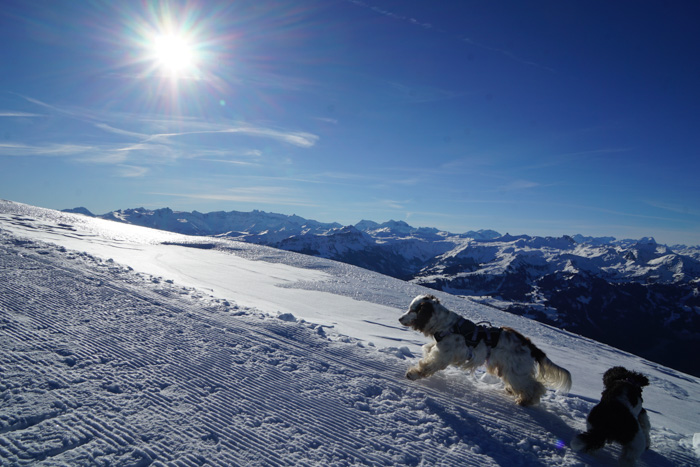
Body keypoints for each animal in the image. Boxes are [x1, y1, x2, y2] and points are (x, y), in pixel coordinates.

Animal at [398, 294, 572, 405]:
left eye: (413, 310)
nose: (399, 318)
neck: (447, 325)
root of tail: (529, 344)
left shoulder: (442, 355)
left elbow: (427, 365)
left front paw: (412, 374)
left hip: (516, 371)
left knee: (536, 386)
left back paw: (525, 401)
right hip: (508, 369)